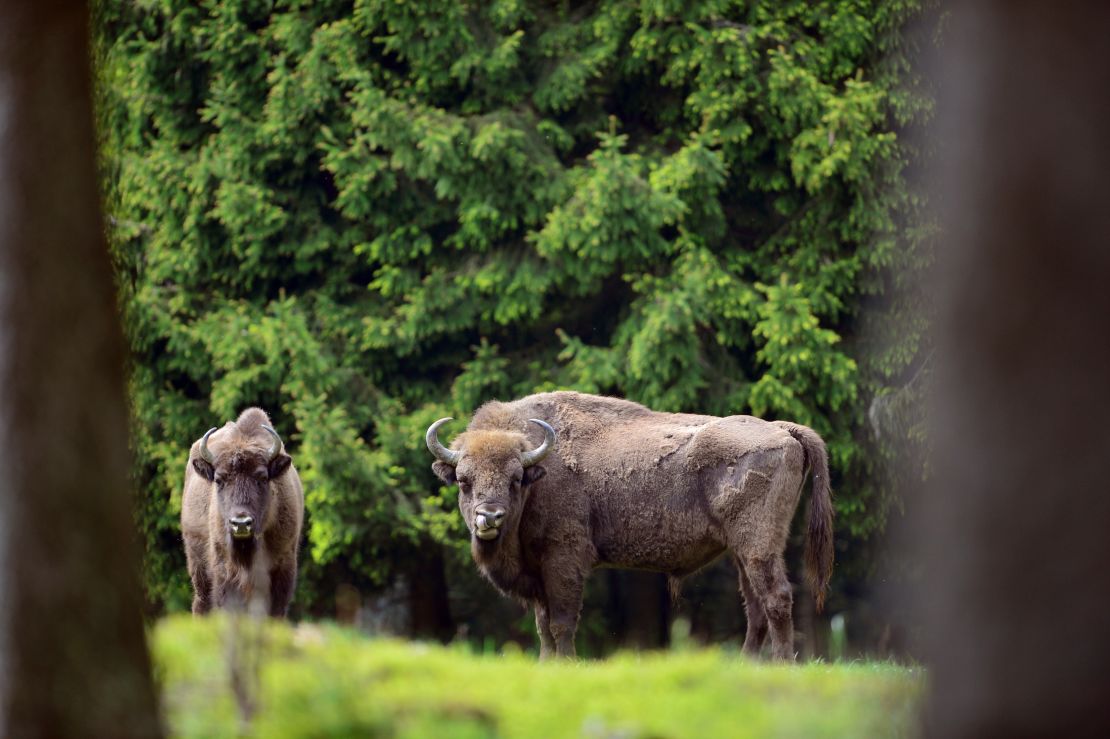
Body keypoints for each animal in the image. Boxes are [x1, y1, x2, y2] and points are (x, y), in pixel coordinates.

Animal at [182, 406, 304, 612]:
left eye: (263, 478)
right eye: (219, 480)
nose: (240, 523)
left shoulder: (283, 567)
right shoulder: (225, 572)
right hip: (198, 566)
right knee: (202, 602)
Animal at [424, 388, 834, 656]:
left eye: (515, 479)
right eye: (463, 479)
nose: (489, 518)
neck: (540, 470)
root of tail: (782, 430)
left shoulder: (564, 561)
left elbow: (561, 623)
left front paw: (567, 665)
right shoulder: (538, 572)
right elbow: (543, 627)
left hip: (758, 546)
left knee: (776, 599)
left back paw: (782, 666)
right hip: (741, 552)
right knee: (756, 609)